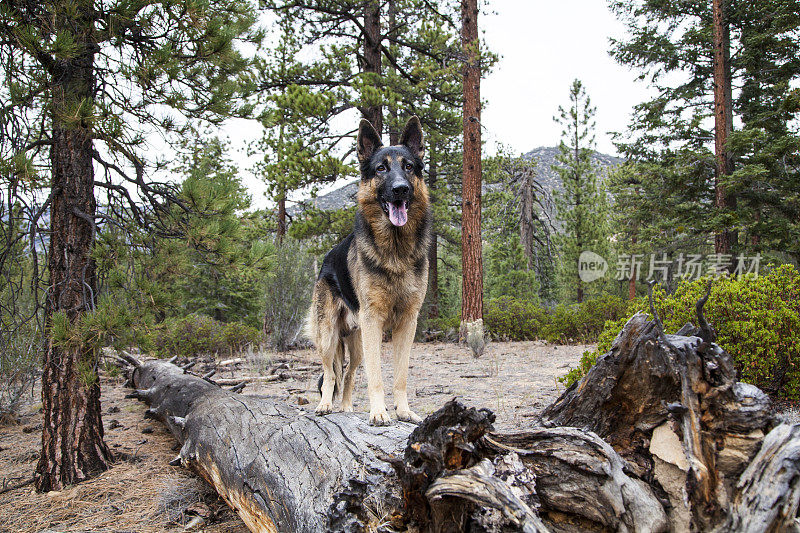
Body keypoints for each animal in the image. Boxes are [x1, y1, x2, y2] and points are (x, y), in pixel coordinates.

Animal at [306, 115, 432, 424]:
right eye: (381, 168)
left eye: (408, 167)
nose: (400, 189)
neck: (396, 250)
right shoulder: (373, 321)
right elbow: (376, 377)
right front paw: (378, 412)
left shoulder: (407, 323)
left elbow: (400, 376)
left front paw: (403, 411)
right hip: (328, 336)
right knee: (330, 373)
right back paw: (325, 405)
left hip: (356, 344)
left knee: (349, 375)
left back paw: (346, 408)